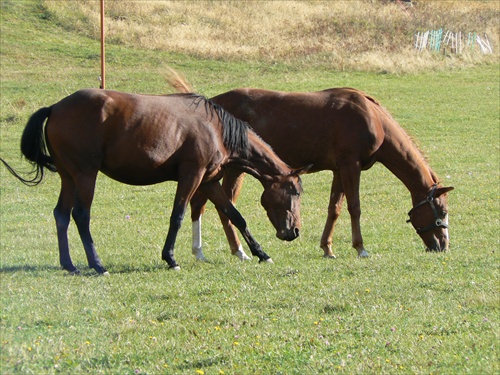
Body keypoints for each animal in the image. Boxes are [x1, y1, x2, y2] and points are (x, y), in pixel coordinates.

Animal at [0, 89, 308, 274]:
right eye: (295, 191)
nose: (293, 231)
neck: (216, 128)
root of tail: (55, 107)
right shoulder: (192, 175)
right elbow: (178, 215)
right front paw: (170, 258)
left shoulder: (208, 181)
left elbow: (235, 215)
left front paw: (261, 253)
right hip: (86, 175)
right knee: (81, 215)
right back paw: (97, 265)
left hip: (68, 176)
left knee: (62, 215)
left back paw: (69, 264)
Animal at [168, 76, 454, 262]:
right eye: (441, 212)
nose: (443, 245)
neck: (372, 118)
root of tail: (210, 103)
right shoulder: (351, 166)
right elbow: (354, 207)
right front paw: (360, 248)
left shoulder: (339, 170)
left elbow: (335, 208)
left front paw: (327, 248)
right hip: (232, 171)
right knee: (220, 205)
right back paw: (238, 250)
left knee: (204, 204)